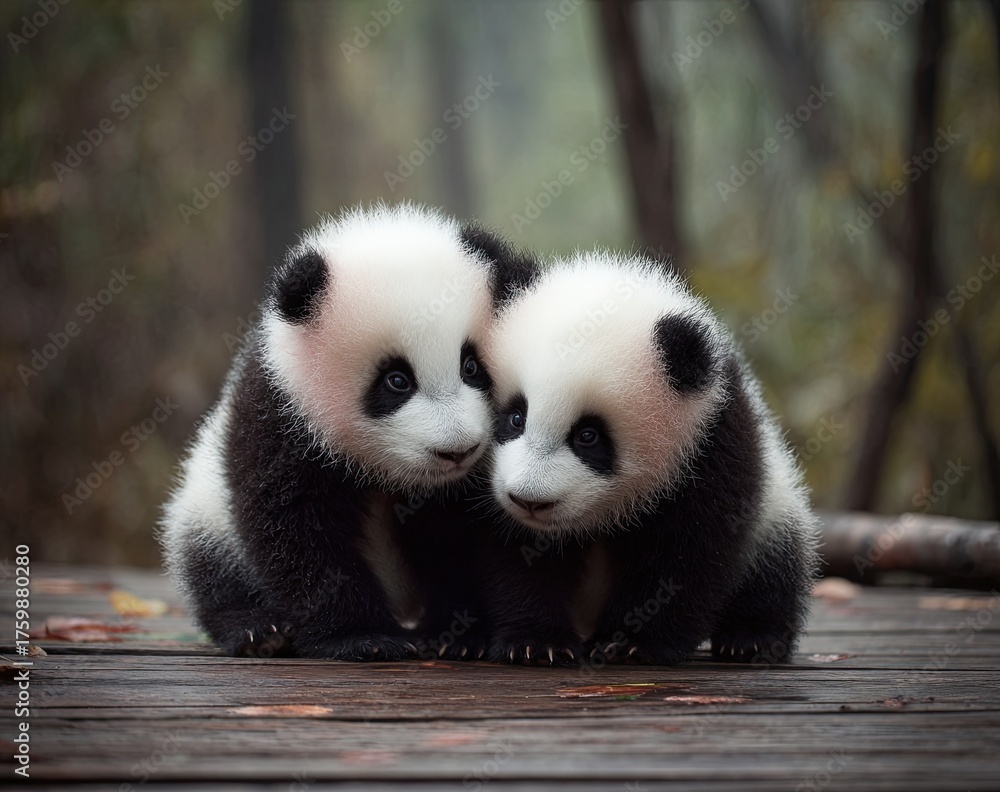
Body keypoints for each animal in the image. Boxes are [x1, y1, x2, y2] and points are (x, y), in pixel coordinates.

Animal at [160, 203, 536, 660]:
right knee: (209, 563)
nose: (458, 450)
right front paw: (362, 637)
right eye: (396, 381)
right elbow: (296, 527)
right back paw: (256, 630)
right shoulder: (283, 410)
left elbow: (451, 539)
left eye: (471, 366)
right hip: (205, 506)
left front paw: (458, 634)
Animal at [480, 250, 820, 666]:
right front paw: (536, 642)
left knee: (777, 564)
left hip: (776, 507)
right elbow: (516, 552)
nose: (529, 500)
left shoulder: (709, 444)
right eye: (515, 417)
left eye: (588, 436)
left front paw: (632, 642)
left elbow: (686, 553)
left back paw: (751, 638)